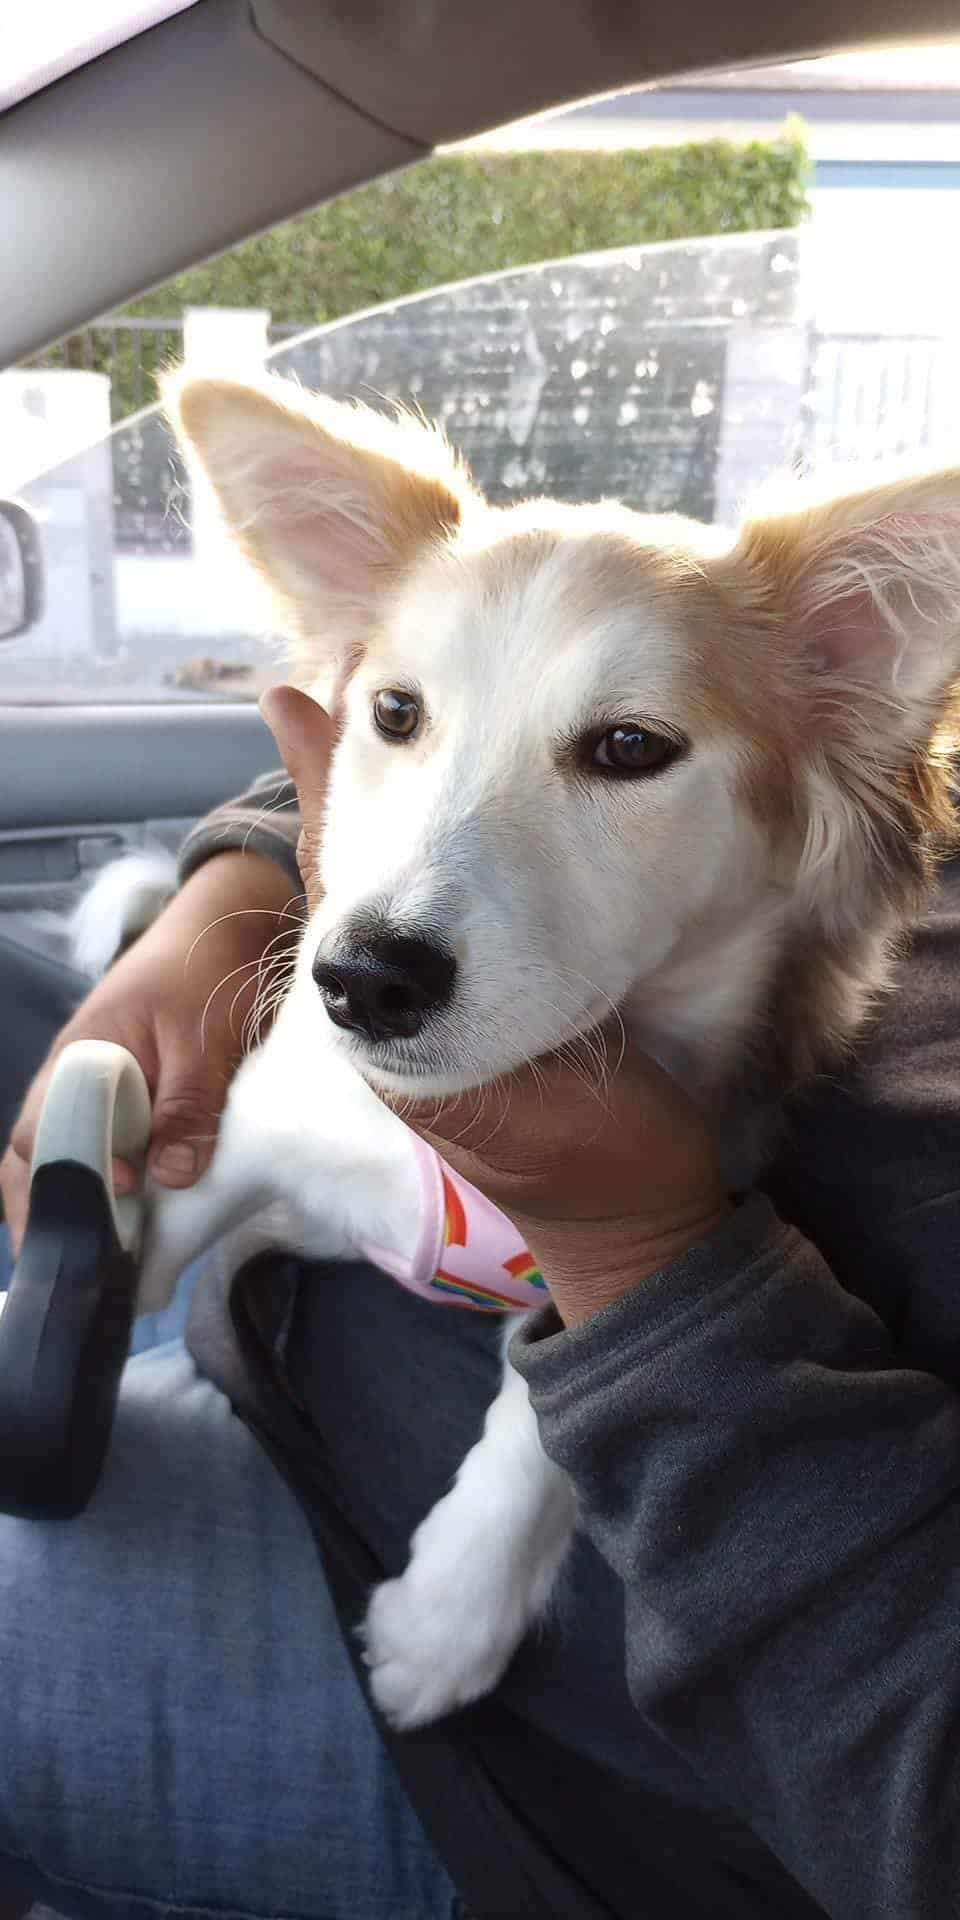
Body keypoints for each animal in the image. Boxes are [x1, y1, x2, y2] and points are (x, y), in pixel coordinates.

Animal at [72, 370, 960, 1728]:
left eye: (631, 748)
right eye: (395, 713)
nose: (363, 980)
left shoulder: (660, 1211)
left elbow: (552, 1422)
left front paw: (451, 1612)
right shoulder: (239, 1139)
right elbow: (155, 1226)